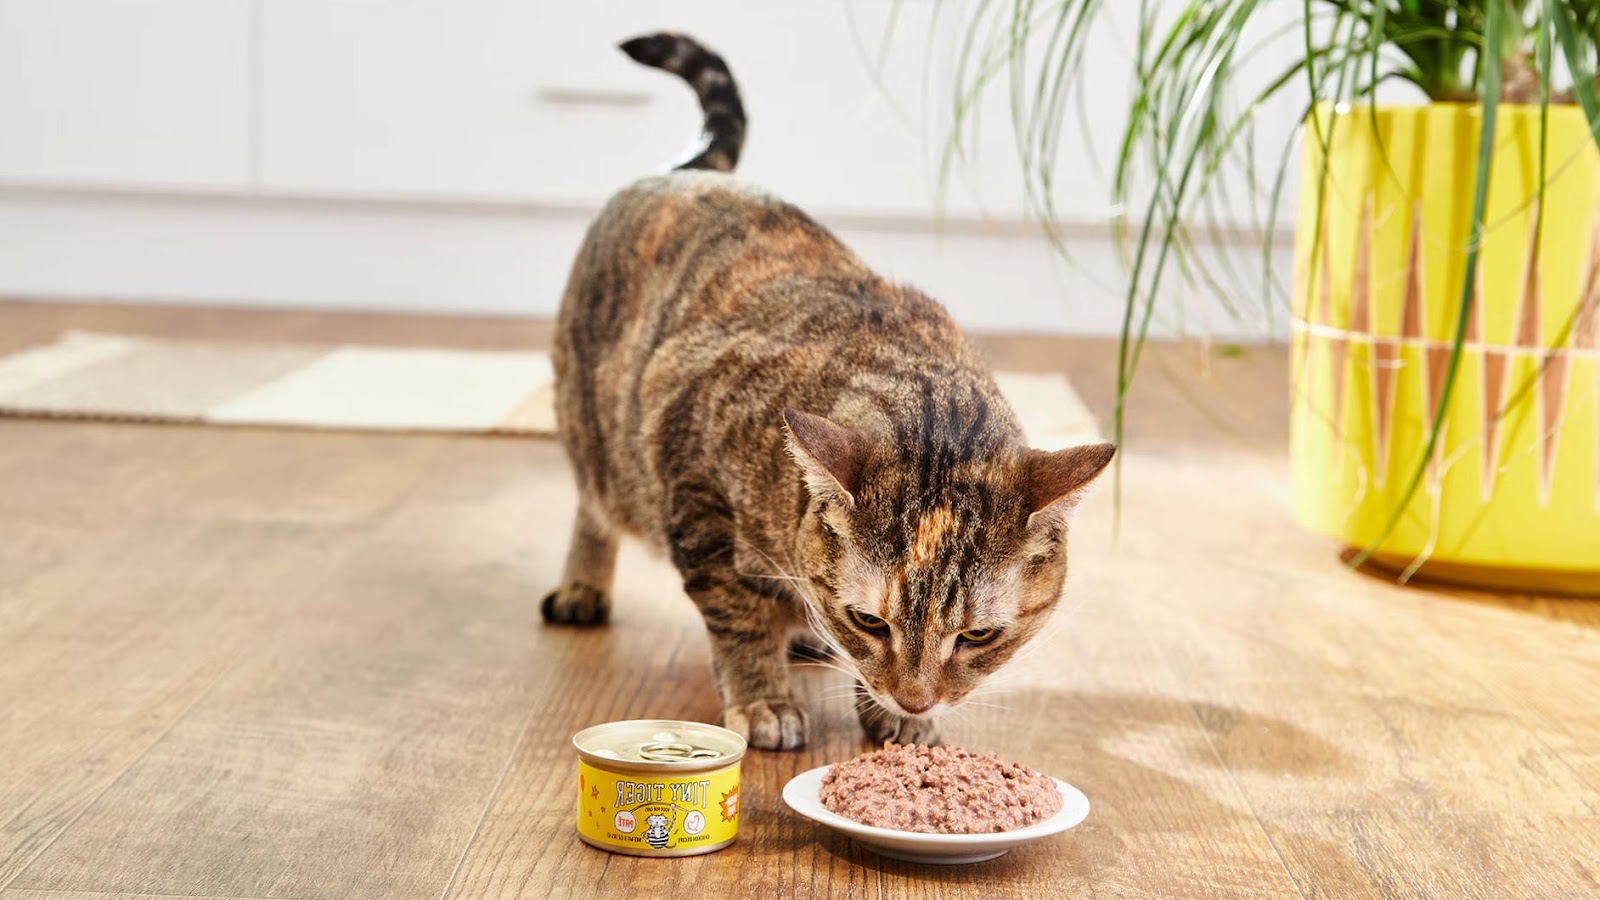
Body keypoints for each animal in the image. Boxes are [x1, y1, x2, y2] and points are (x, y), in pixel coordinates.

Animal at [544, 31, 1120, 746]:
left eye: (979, 636)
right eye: (870, 620)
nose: (915, 700)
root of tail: (689, 171)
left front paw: (890, 719)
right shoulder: (695, 486)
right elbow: (736, 613)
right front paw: (765, 698)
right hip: (595, 426)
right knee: (592, 508)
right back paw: (584, 588)